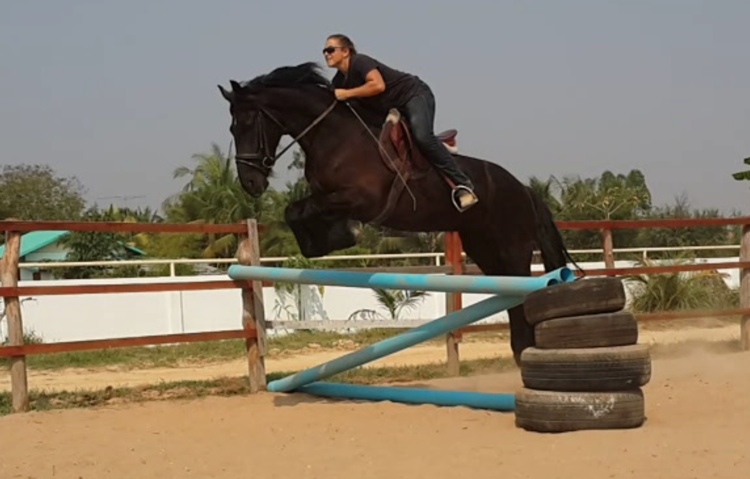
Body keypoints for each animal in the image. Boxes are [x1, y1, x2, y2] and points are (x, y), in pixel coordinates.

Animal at [217, 61, 580, 364]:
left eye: (248, 123)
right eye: (232, 129)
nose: (250, 183)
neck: (332, 136)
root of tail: (524, 189)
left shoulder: (360, 199)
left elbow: (306, 210)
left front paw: (345, 235)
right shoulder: (324, 197)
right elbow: (294, 210)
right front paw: (320, 243)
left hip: (511, 248)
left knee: (523, 292)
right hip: (485, 249)